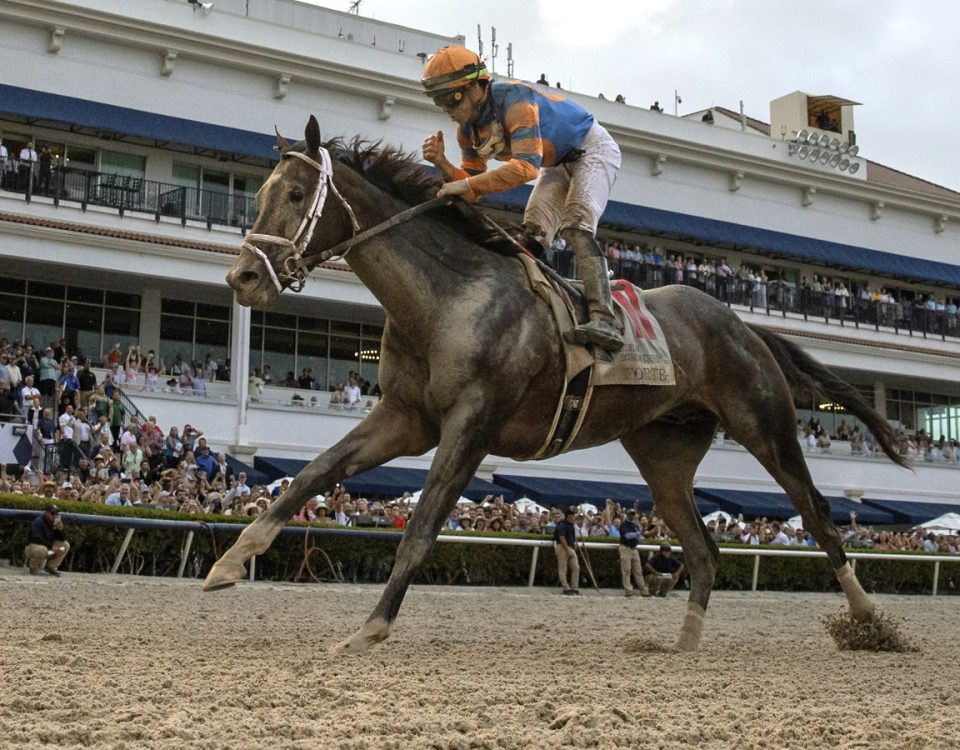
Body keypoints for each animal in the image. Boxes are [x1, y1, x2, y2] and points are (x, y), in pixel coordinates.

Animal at [206, 116, 912, 652]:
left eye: (297, 195)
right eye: (260, 192)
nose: (243, 278)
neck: (449, 298)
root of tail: (742, 323)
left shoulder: (472, 423)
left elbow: (421, 526)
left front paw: (370, 629)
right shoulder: (407, 417)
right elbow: (312, 473)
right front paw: (230, 560)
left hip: (764, 423)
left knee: (818, 515)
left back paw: (870, 623)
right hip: (663, 453)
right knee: (705, 549)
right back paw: (683, 646)